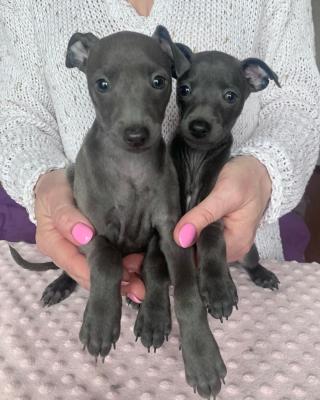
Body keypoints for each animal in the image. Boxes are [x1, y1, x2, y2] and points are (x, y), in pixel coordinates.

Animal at [10, 27, 228, 396]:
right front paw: (100, 320)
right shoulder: (92, 229)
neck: (131, 167)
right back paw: (60, 285)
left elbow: (181, 287)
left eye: (159, 81)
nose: (136, 134)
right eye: (102, 84)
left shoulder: (169, 230)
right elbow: (107, 261)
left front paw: (200, 354)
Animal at [156, 27, 280, 322]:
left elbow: (211, 237)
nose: (199, 127)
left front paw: (217, 288)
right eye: (184, 89)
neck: (196, 156)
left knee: (251, 261)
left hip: (247, 250)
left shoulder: (212, 204)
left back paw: (262, 274)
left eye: (230, 96)